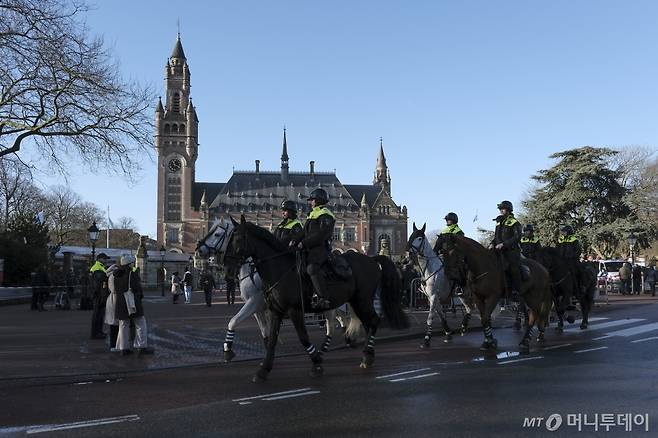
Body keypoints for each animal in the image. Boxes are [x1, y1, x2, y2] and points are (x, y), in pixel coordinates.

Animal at [195, 219, 352, 362]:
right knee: (341, 320)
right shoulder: (258, 309)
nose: (198, 250)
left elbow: (233, 321)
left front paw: (227, 349)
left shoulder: (254, 302)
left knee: (332, 324)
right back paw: (345, 340)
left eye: (216, 234)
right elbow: (265, 331)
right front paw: (268, 352)